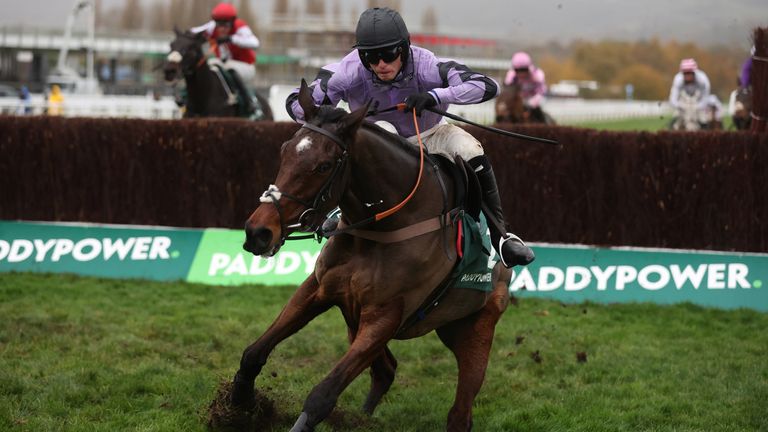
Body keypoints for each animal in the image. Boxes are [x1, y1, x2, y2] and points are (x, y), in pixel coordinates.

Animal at [219, 82, 512, 432]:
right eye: (284, 151)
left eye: (324, 165)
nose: (258, 232)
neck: (383, 228)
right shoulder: (319, 291)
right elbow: (253, 353)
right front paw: (239, 404)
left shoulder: (385, 316)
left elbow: (323, 394)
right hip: (354, 319)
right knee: (386, 370)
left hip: (476, 328)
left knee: (459, 413)